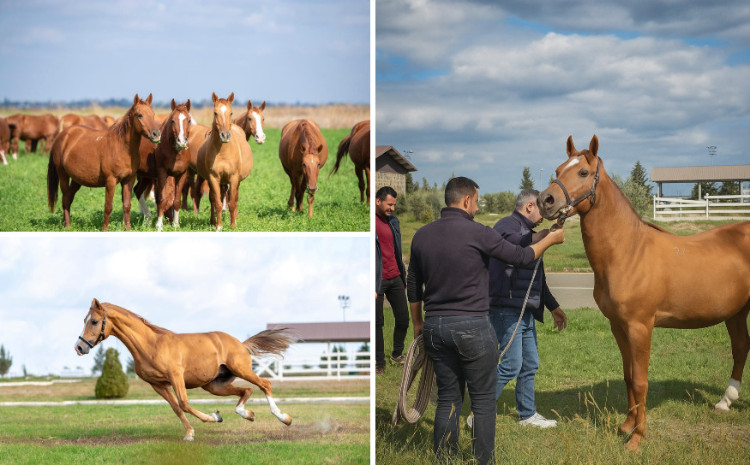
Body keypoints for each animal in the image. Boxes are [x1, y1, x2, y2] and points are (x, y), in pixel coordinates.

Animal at [47, 93, 162, 230]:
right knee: (65, 199)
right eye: (140, 115)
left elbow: (127, 205)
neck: (121, 147)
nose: (156, 135)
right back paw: (67, 226)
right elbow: (108, 207)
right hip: (63, 175)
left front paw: (127, 228)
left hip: (77, 180)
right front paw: (104, 229)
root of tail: (62, 135)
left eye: (153, 114)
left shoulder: (128, 180)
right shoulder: (110, 181)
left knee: (68, 199)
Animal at [74, 298, 295, 441]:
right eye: (84, 320)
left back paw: (284, 418)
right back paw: (247, 414)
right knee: (246, 390)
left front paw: (214, 418)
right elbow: (176, 408)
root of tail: (240, 343)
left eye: (94, 321)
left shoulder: (176, 377)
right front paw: (191, 432)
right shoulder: (157, 385)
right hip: (214, 385)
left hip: (240, 370)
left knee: (264, 384)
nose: (79, 347)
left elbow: (184, 404)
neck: (151, 345)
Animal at [196, 92, 253, 231]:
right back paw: (212, 221)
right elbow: (216, 202)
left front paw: (233, 225)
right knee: (213, 199)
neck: (223, 152)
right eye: (215, 113)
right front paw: (219, 226)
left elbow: (232, 202)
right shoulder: (213, 178)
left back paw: (236, 218)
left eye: (231, 113)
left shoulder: (233, 178)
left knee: (235, 198)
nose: (225, 136)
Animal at [538, 134, 750, 451]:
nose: (545, 201)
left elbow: (640, 380)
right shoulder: (618, 326)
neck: (628, 252)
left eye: (583, 172)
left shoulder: (640, 327)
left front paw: (638, 438)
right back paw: (725, 402)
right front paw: (626, 425)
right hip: (736, 312)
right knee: (740, 348)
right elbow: (628, 376)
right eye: (558, 169)